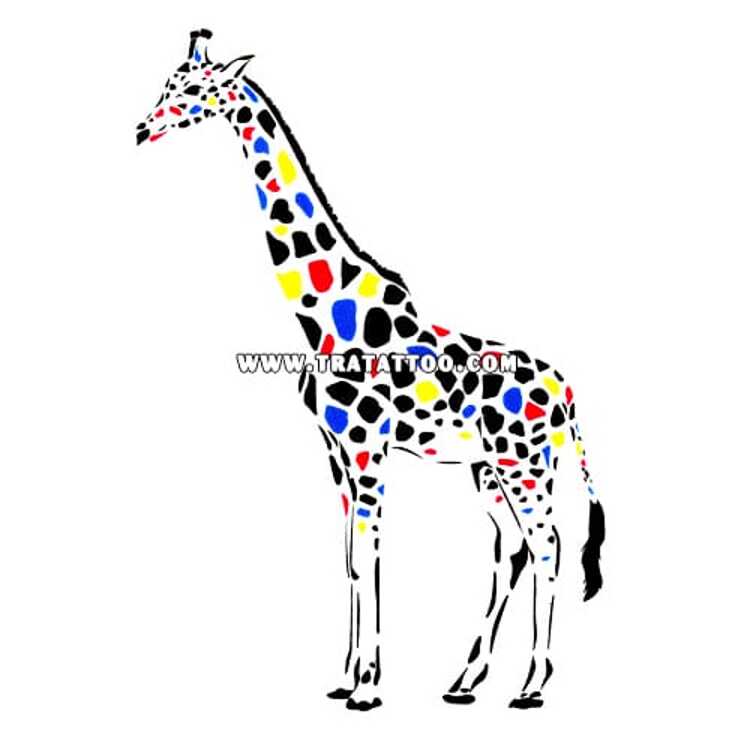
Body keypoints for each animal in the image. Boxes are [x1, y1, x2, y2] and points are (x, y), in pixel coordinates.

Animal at [136, 29, 606, 711]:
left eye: (195, 89)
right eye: (167, 84)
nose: (142, 129)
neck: (325, 315)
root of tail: (568, 393)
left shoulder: (366, 450)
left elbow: (372, 557)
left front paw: (366, 688)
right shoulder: (334, 453)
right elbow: (352, 560)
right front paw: (345, 679)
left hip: (525, 463)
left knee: (549, 546)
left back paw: (531, 686)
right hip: (488, 471)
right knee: (514, 549)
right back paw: (465, 681)